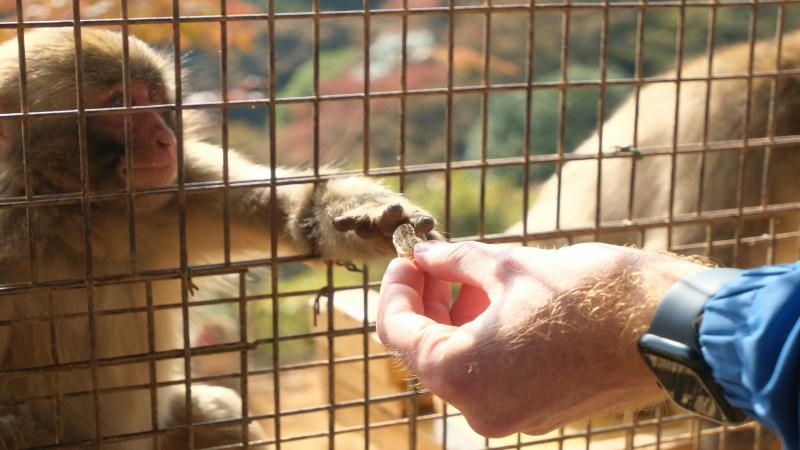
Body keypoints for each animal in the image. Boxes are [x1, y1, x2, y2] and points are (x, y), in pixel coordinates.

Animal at [0, 28, 439, 449]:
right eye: (117, 104)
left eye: (152, 95)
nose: (164, 138)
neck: (82, 216)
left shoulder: (182, 183)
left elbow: (291, 218)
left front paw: (370, 213)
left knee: (222, 417)